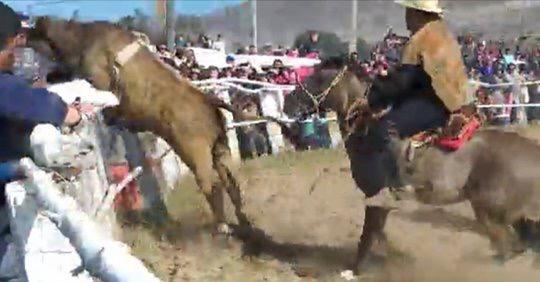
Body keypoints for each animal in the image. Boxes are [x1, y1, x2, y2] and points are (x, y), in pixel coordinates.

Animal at [27, 18, 251, 234]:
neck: (82, 38)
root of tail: (210, 102)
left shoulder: (97, 78)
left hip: (196, 153)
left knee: (212, 185)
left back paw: (223, 226)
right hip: (219, 149)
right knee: (231, 183)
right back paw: (244, 222)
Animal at [284, 57, 540, 274]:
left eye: (318, 78)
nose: (287, 103)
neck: (367, 131)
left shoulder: (375, 197)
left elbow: (367, 236)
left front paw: (355, 270)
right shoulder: (379, 203)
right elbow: (376, 234)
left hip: (490, 211)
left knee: (507, 246)